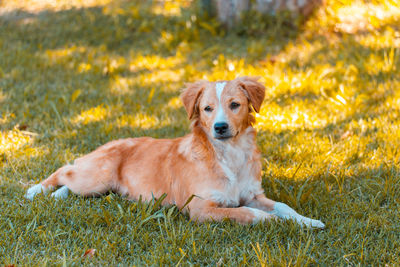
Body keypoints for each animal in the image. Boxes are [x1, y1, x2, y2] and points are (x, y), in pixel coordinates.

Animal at [25, 76, 324, 229]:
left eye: (235, 104)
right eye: (207, 108)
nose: (220, 127)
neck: (228, 155)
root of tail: (110, 142)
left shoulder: (253, 194)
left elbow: (283, 206)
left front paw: (307, 221)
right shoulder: (199, 208)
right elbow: (246, 213)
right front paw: (271, 220)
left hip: (99, 186)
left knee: (70, 182)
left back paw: (58, 195)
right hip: (97, 176)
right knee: (65, 170)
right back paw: (36, 190)